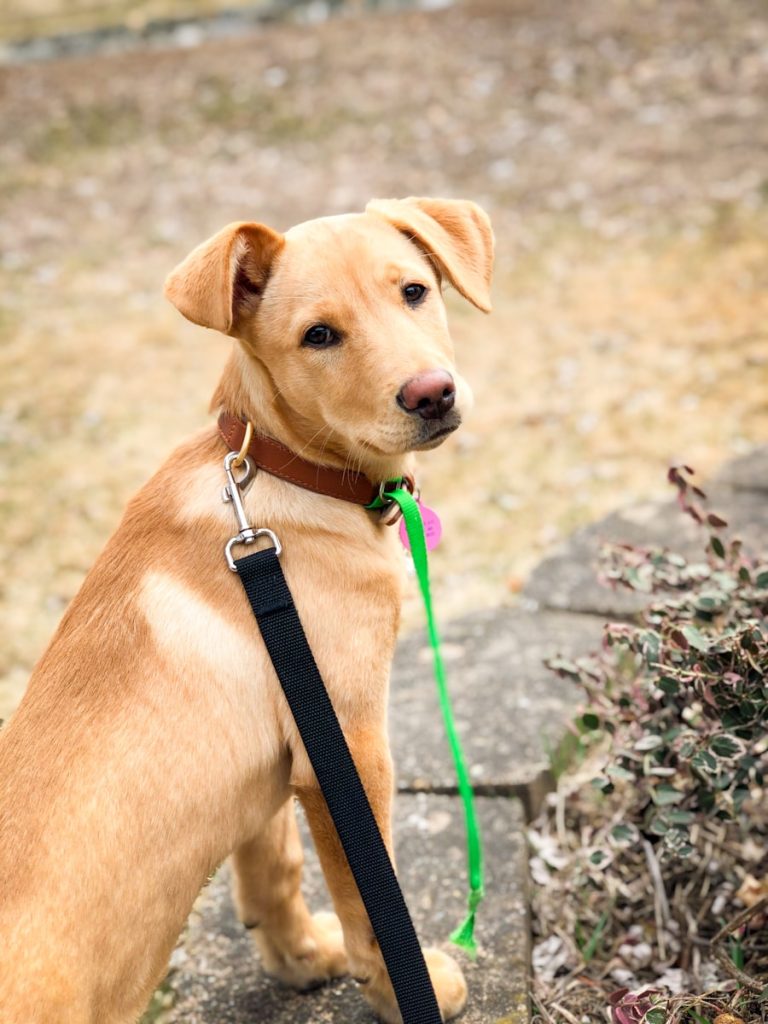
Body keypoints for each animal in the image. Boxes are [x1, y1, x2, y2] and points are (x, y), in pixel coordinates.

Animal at [0, 195, 493, 1019]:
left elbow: (273, 862)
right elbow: (372, 890)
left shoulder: (284, 747)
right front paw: (403, 985)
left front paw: (300, 957)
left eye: (414, 292)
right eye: (318, 336)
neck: (286, 473)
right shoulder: (347, 743)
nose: (433, 393)